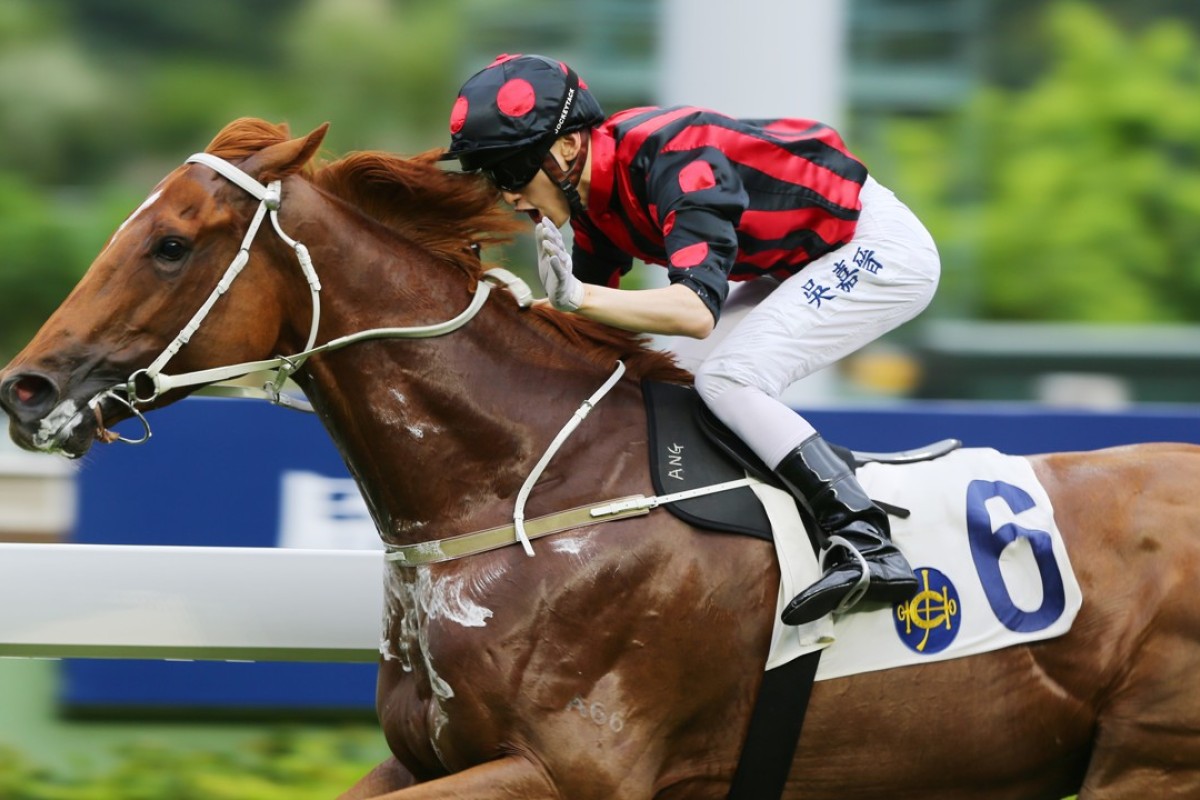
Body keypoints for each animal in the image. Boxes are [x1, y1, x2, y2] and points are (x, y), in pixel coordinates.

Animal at [2, 118, 1200, 800]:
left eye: (171, 243)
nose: (28, 387)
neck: (529, 487)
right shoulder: (427, 755)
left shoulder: (572, 769)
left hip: (1148, 765)